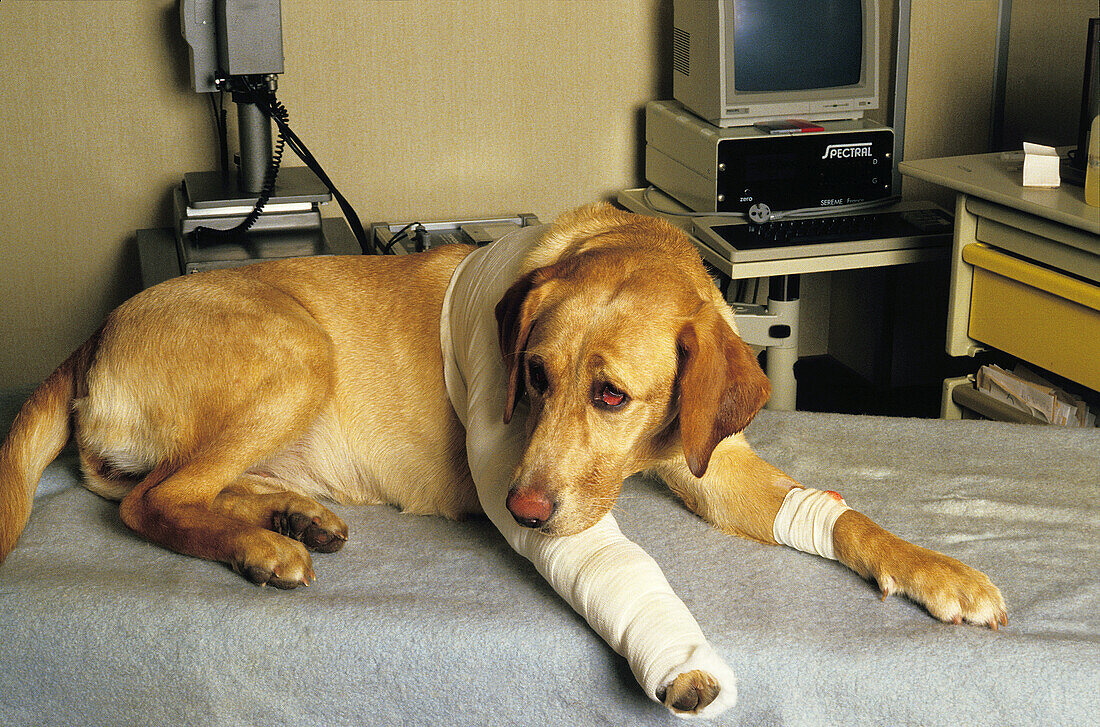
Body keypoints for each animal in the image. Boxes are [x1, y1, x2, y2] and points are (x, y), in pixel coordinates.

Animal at [0, 204, 1007, 712]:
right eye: (532, 373)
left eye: (612, 395)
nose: (523, 511)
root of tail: (91, 337)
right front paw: (685, 668)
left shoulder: (710, 464)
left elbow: (844, 515)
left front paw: (940, 570)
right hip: (298, 350)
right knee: (151, 500)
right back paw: (262, 545)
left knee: (169, 486)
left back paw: (295, 517)